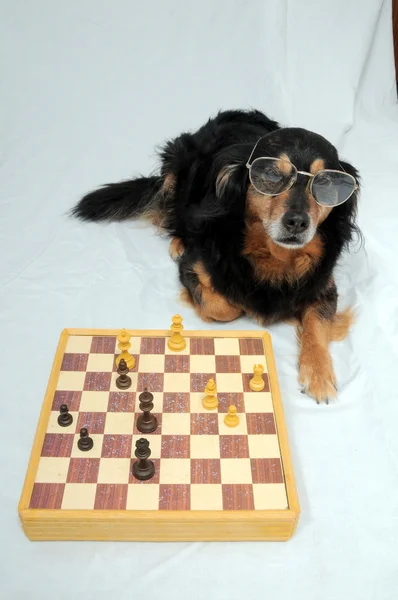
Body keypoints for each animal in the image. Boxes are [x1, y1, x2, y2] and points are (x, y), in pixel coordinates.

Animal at [72, 110, 360, 406]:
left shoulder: (324, 286)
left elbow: (317, 325)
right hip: (177, 167)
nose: (297, 223)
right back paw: (178, 240)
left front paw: (319, 374)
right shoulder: (193, 266)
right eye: (270, 173)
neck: (273, 254)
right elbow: (224, 307)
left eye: (325, 183)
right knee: (173, 213)